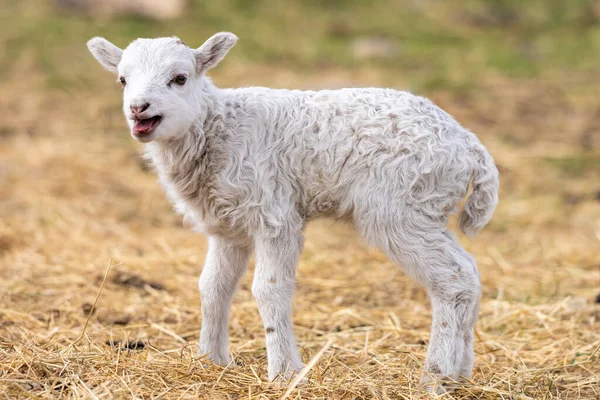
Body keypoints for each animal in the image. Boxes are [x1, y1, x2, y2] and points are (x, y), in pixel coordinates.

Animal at [88, 32, 502, 394]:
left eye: (179, 78)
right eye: (122, 79)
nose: (138, 108)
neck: (218, 126)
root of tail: (470, 146)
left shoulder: (274, 213)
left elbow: (268, 289)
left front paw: (285, 373)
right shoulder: (228, 225)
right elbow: (213, 287)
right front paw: (210, 360)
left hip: (400, 207)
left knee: (453, 279)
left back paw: (435, 378)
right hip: (427, 208)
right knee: (469, 271)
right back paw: (462, 373)